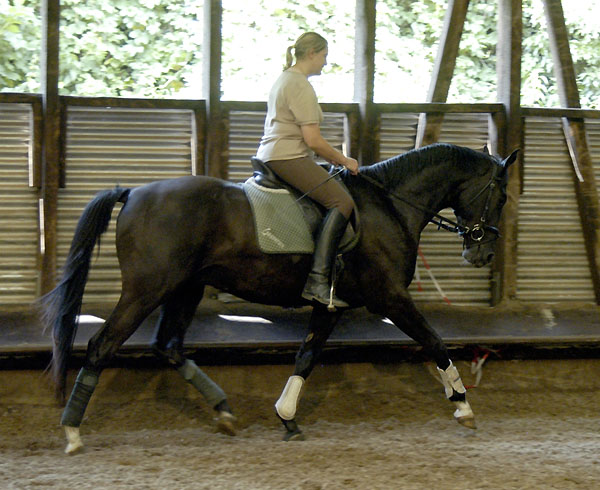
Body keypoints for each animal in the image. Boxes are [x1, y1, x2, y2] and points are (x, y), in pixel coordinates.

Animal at [39, 141, 516, 452]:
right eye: (502, 195)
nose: (482, 252)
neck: (391, 205)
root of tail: (134, 191)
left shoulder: (332, 305)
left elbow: (306, 357)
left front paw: (287, 418)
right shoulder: (390, 297)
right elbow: (435, 341)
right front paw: (462, 404)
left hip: (185, 287)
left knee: (168, 345)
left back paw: (224, 412)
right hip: (147, 289)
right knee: (102, 346)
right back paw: (72, 433)